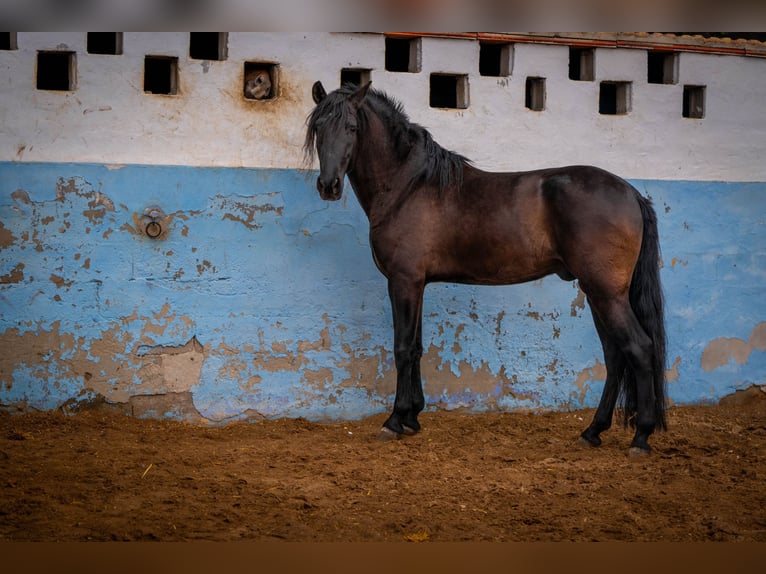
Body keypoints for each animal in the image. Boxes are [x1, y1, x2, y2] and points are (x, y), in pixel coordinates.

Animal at [304, 81, 664, 460]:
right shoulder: (417, 284)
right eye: (318, 128)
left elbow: (402, 348)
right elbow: (416, 347)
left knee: (639, 348)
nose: (329, 186)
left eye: (351, 128)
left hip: (606, 293)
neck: (408, 186)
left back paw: (640, 437)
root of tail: (632, 193)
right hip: (598, 294)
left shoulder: (403, 282)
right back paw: (593, 431)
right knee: (615, 355)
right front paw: (413, 418)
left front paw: (394, 420)